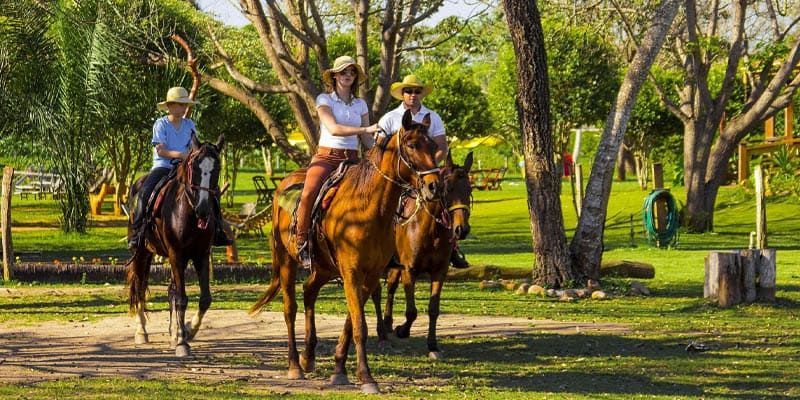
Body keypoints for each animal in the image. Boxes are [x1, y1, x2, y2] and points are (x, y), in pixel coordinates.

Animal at [125, 134, 225, 356]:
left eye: (217, 169)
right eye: (194, 167)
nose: (203, 209)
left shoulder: (201, 255)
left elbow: (204, 299)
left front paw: (188, 330)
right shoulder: (176, 254)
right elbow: (181, 298)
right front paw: (181, 343)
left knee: (170, 290)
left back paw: (173, 333)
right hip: (142, 252)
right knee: (139, 286)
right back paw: (141, 331)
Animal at [250, 110, 440, 394]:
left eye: (433, 145)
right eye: (412, 145)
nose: (433, 186)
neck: (368, 208)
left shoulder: (369, 275)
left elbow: (352, 322)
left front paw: (339, 369)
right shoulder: (351, 272)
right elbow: (360, 325)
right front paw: (367, 377)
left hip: (324, 267)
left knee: (309, 290)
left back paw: (308, 357)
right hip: (287, 262)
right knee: (290, 308)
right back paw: (295, 364)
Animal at [372, 150, 472, 360]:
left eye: (469, 190)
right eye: (447, 189)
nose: (462, 230)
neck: (431, 230)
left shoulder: (439, 271)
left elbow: (433, 309)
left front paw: (433, 345)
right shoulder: (410, 269)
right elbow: (411, 311)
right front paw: (403, 330)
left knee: (391, 287)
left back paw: (387, 322)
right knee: (375, 292)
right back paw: (382, 333)